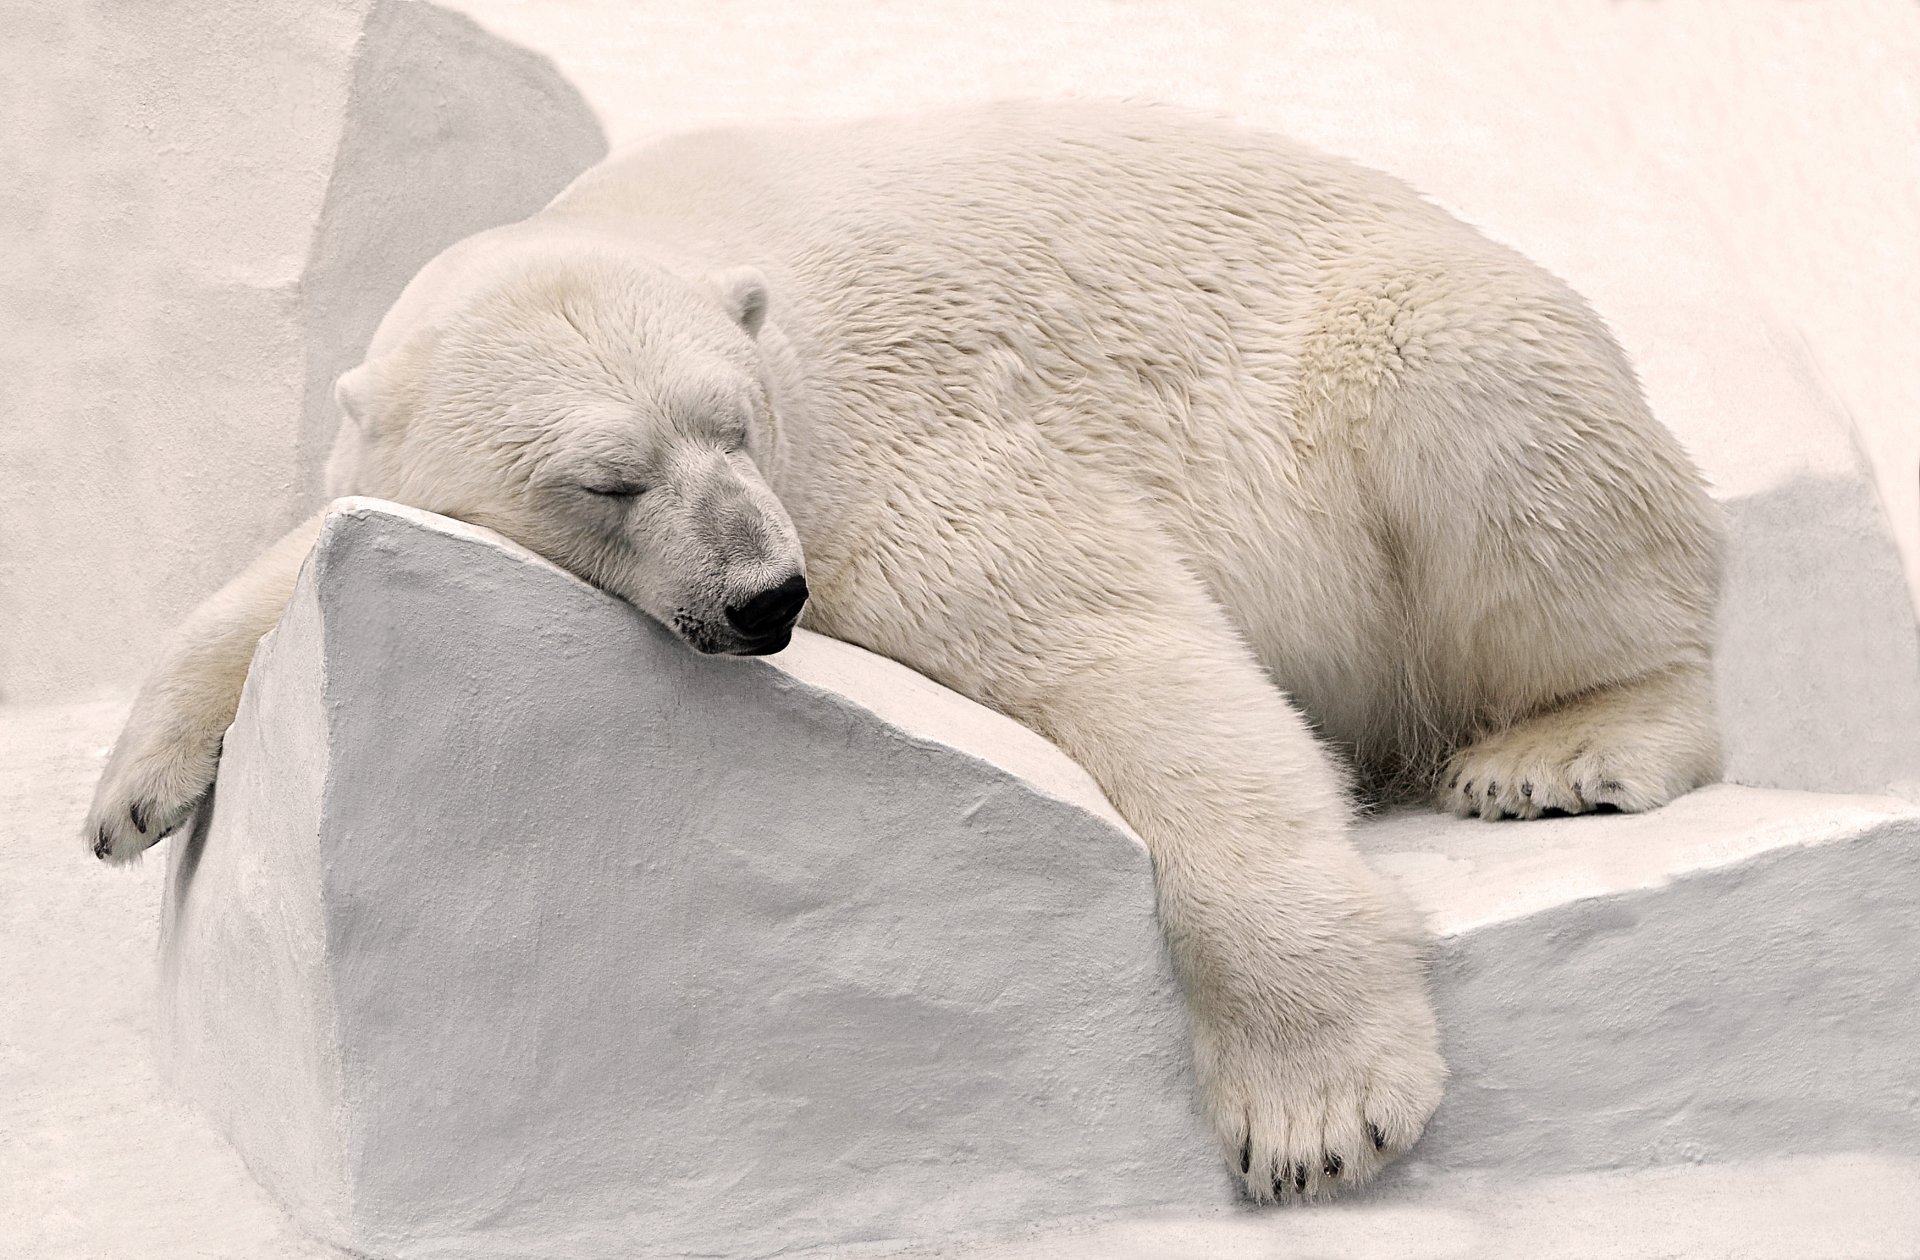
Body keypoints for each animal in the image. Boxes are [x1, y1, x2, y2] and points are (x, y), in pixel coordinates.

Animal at [84, 100, 1725, 1203]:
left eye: (732, 424)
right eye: (608, 481)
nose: (766, 599)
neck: (717, 251)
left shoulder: (887, 454)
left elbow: (1126, 649)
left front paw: (1316, 1109)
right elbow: (295, 552)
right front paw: (129, 793)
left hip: (1413, 350)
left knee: (1496, 424)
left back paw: (1570, 746)